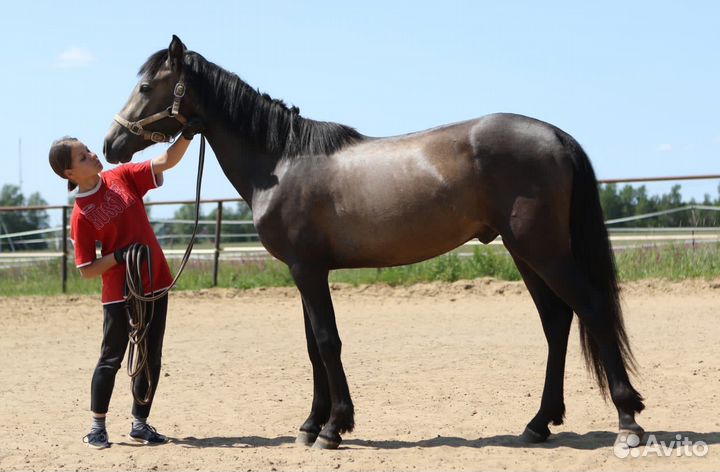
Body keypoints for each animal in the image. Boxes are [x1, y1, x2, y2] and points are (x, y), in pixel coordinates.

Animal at [104, 35, 645, 449]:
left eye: (146, 86)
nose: (111, 144)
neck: (281, 162)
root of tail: (556, 136)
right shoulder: (306, 271)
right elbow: (312, 346)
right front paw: (311, 423)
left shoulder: (307, 270)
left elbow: (327, 342)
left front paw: (334, 428)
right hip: (524, 252)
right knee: (557, 322)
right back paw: (539, 423)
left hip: (541, 249)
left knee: (592, 309)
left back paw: (627, 420)